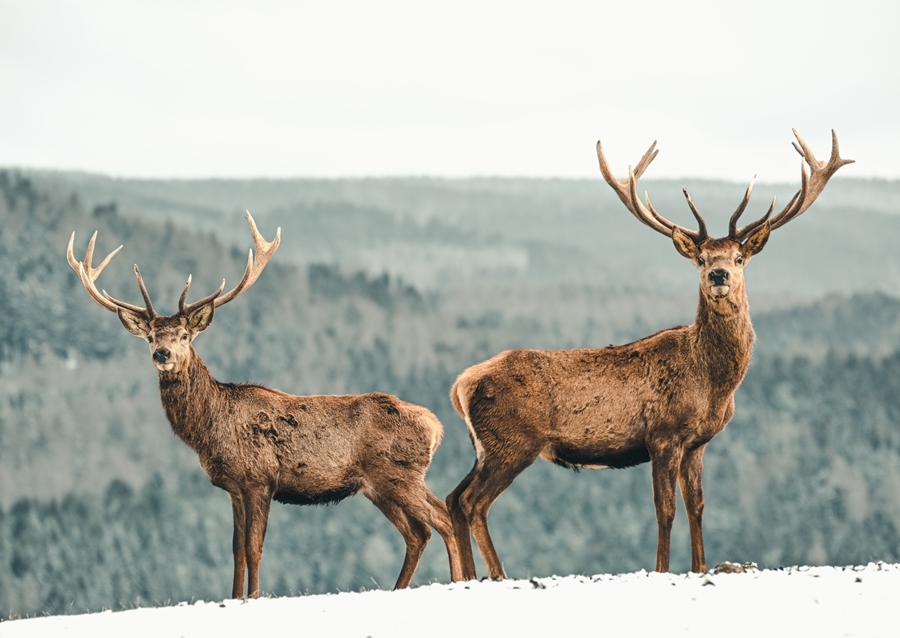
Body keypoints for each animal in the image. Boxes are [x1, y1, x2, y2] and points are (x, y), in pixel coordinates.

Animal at [66, 212, 463, 598]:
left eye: (184, 335)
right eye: (150, 336)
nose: (161, 354)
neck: (210, 431)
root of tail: (436, 427)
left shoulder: (260, 479)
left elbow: (254, 548)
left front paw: (254, 597)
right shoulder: (234, 488)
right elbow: (236, 551)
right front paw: (234, 597)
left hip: (399, 473)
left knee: (442, 518)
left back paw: (459, 581)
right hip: (379, 485)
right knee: (418, 533)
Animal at [446, 130, 853, 580]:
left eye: (739, 257)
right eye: (700, 258)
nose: (719, 275)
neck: (713, 384)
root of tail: (461, 385)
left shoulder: (697, 443)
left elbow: (697, 506)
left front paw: (700, 567)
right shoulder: (663, 434)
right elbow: (665, 510)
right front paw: (661, 569)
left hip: (486, 446)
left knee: (453, 498)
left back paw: (466, 576)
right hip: (513, 442)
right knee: (473, 502)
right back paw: (497, 574)